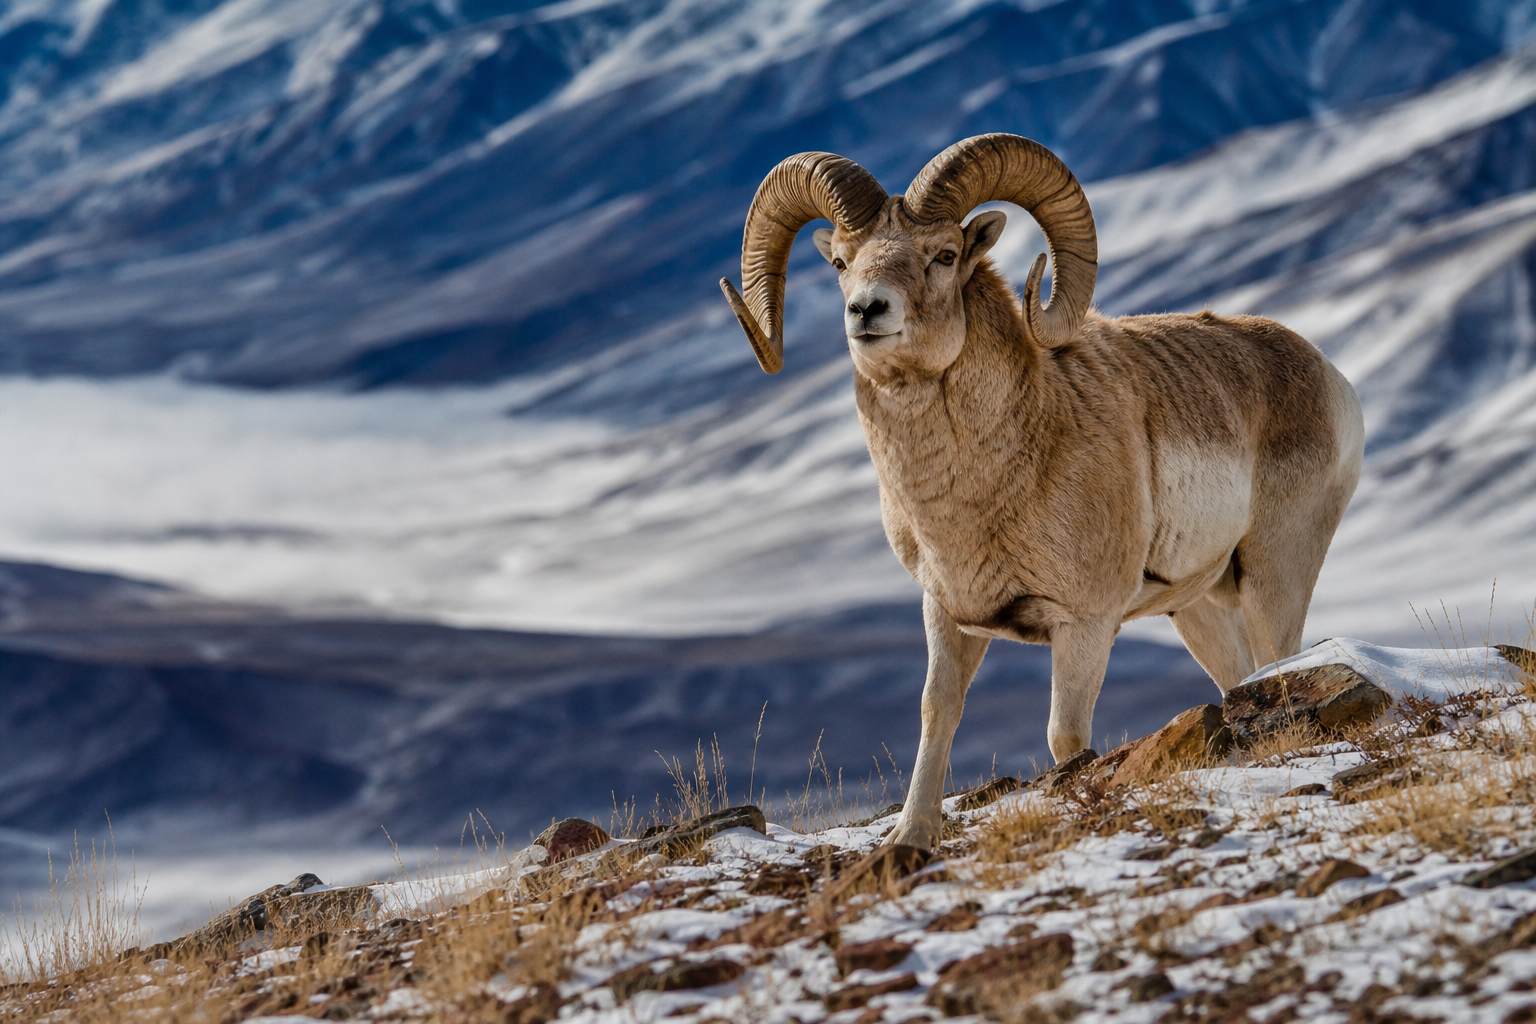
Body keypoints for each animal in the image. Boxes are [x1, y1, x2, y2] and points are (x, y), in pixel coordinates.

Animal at [718, 133, 1364, 849]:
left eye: (944, 255)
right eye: (840, 262)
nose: (866, 311)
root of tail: (1328, 376)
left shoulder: (1083, 625)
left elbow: (1066, 738)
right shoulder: (946, 613)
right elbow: (937, 712)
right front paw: (910, 840)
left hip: (1274, 577)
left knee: (1281, 661)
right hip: (1196, 610)